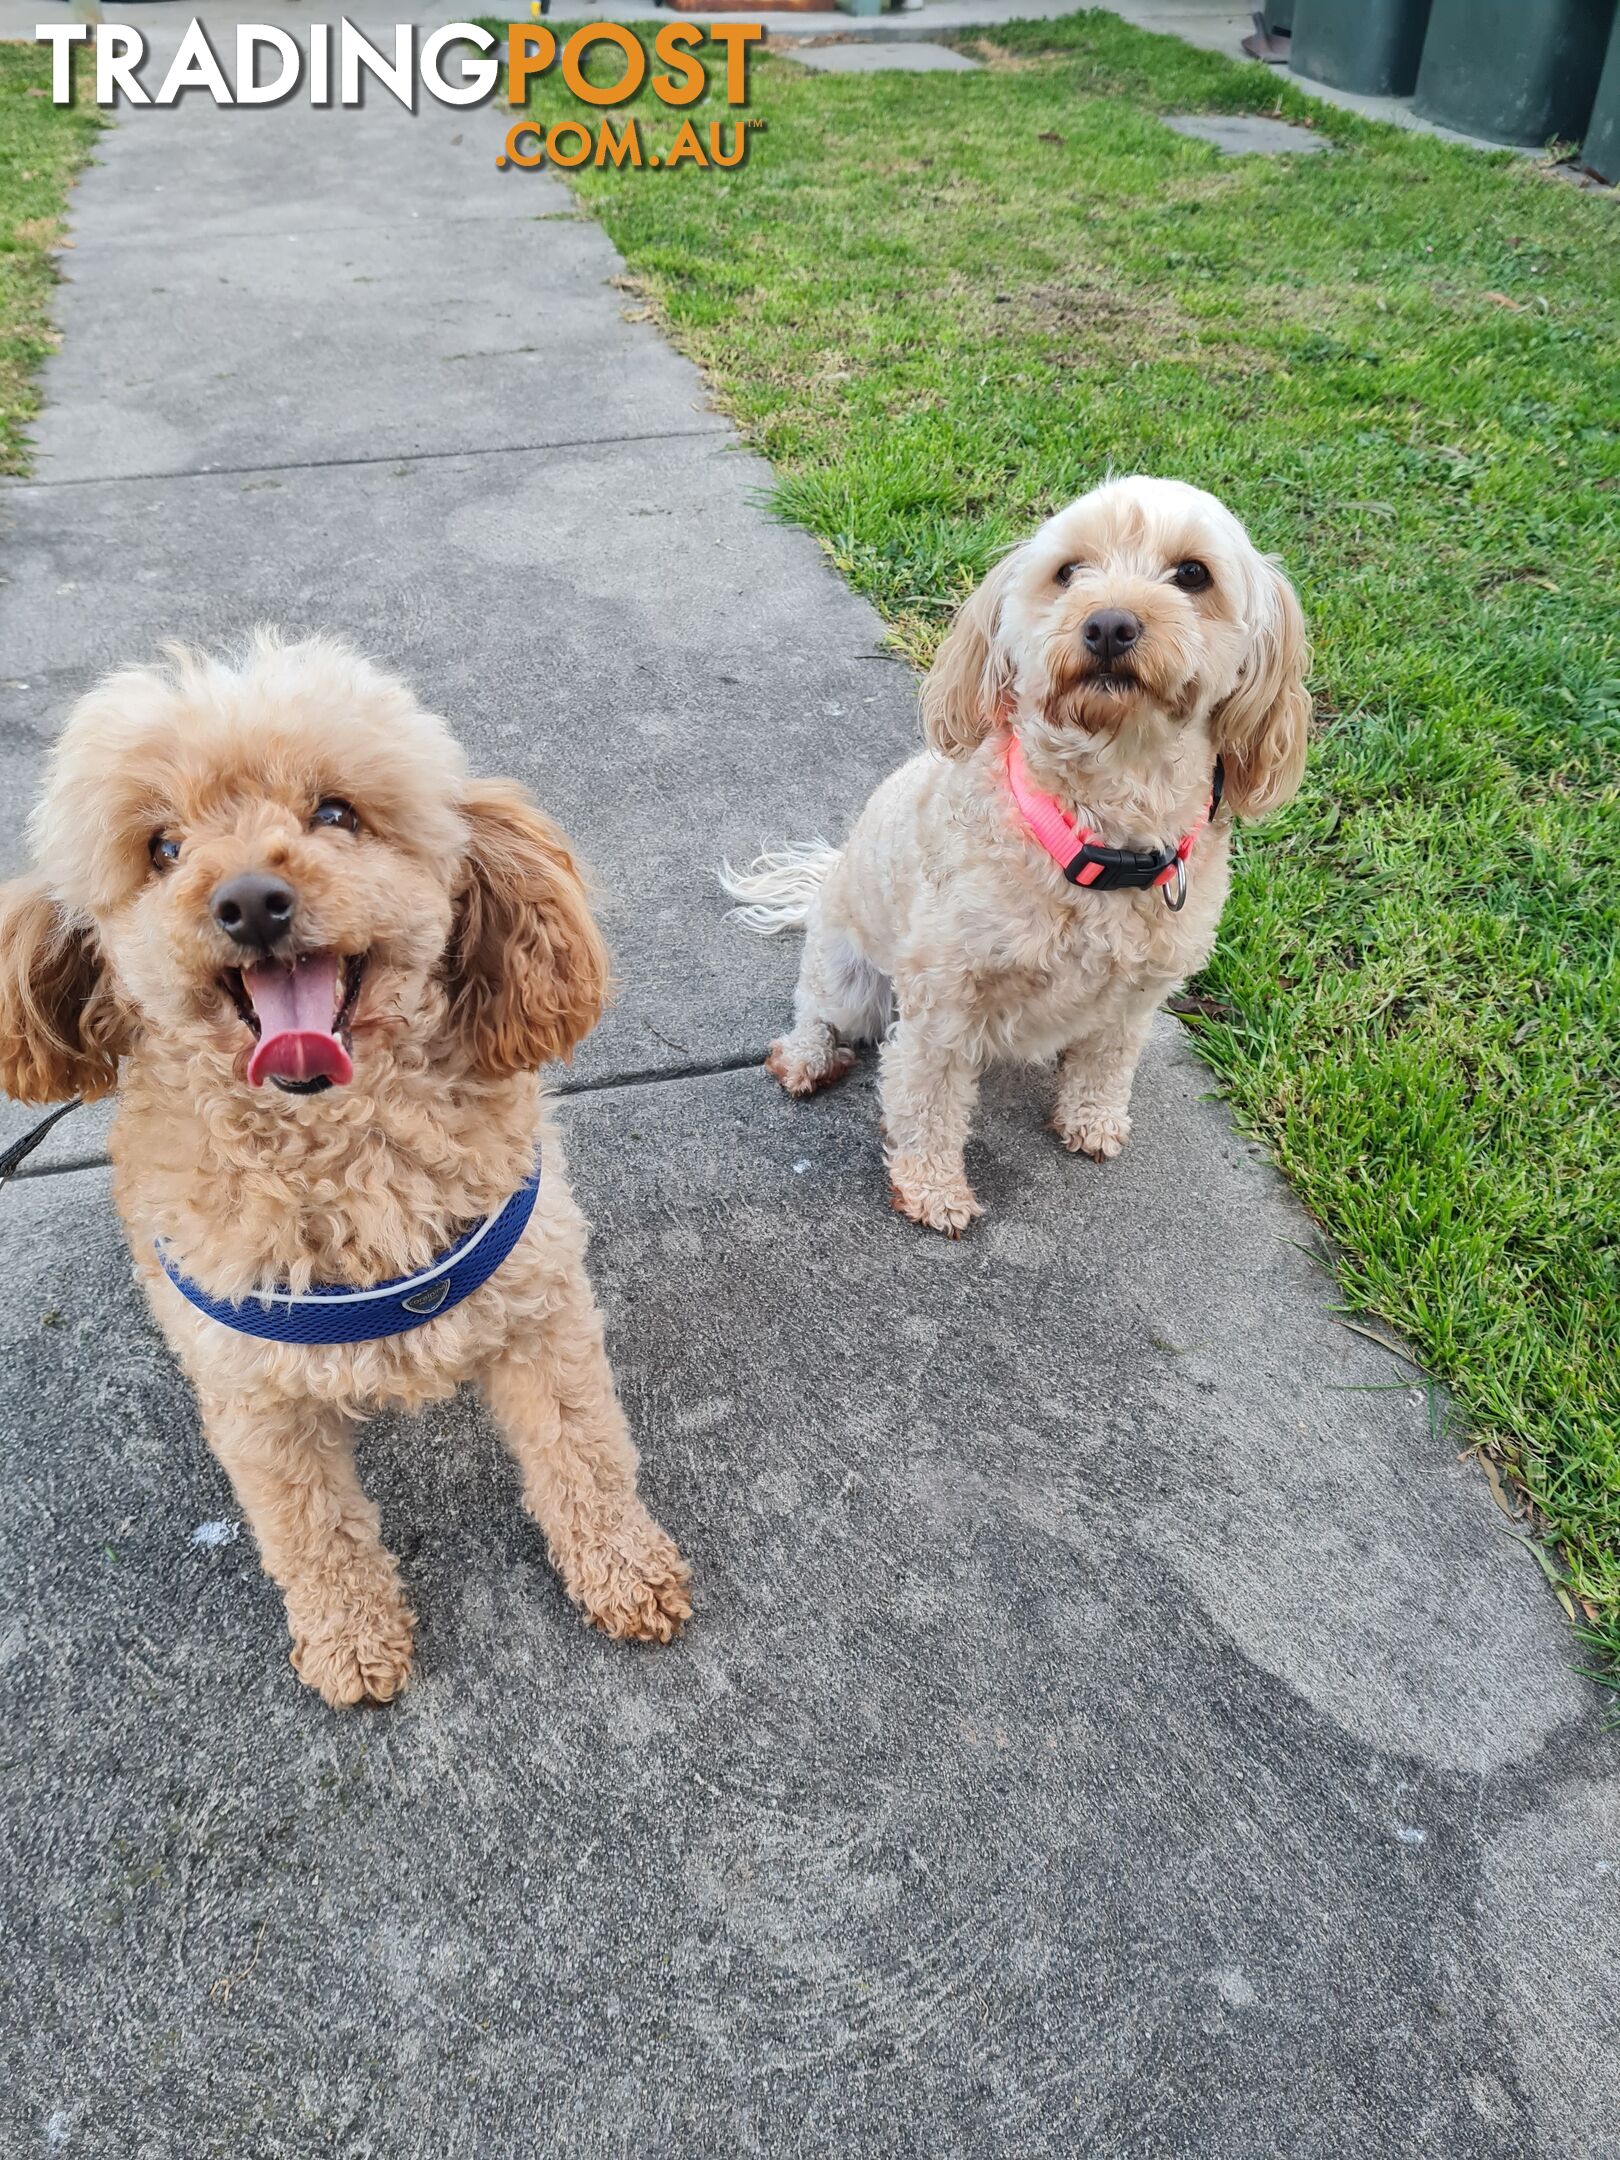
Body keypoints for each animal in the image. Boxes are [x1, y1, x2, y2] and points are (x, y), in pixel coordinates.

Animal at [730, 481, 1313, 1244]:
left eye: (1193, 574)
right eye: (1069, 571)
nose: (1109, 626)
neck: (1102, 826)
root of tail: (826, 877)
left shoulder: (1137, 997)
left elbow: (1107, 1062)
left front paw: (1093, 1119)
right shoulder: (943, 998)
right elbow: (928, 1098)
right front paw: (933, 1188)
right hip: (849, 976)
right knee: (816, 1012)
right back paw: (806, 1058)